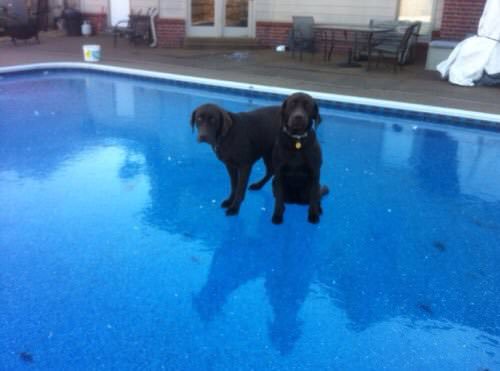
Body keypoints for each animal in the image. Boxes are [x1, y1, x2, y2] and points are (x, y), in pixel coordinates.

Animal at [272, 93, 330, 225]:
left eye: (307, 105)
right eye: (292, 104)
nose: (298, 117)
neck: (297, 141)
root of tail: (296, 201)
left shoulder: (315, 173)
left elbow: (313, 197)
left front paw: (313, 214)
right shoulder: (279, 173)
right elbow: (279, 198)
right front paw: (277, 215)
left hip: (317, 184)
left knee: (317, 197)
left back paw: (319, 209)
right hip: (273, 182)